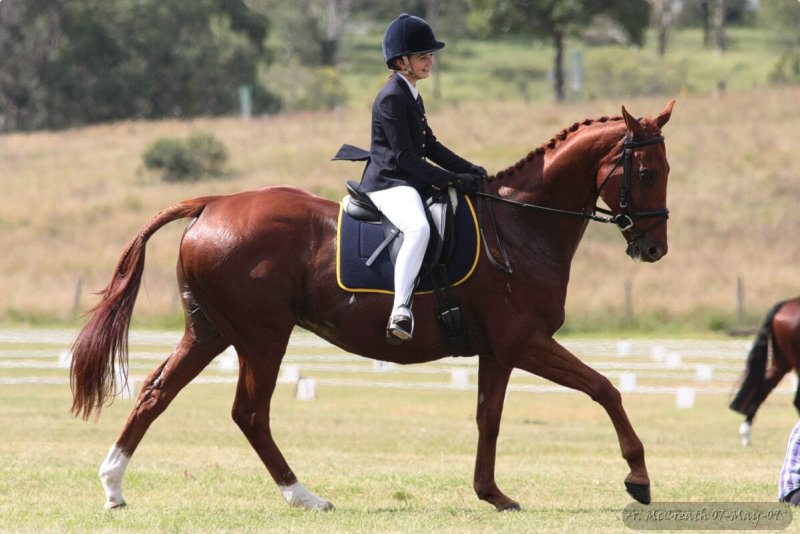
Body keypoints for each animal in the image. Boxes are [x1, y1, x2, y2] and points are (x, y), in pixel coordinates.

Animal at [70, 101, 676, 516]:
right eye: (646, 173)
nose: (654, 250)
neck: (522, 225)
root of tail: (212, 203)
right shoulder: (524, 341)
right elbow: (605, 389)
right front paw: (639, 478)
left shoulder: (499, 351)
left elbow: (489, 417)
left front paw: (492, 494)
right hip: (262, 336)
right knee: (250, 412)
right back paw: (303, 496)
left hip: (210, 331)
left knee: (156, 392)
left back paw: (113, 485)